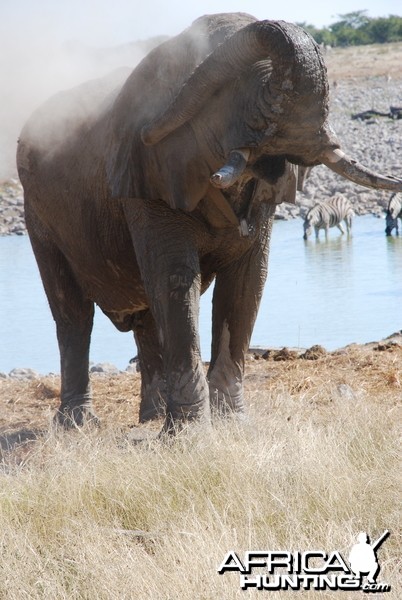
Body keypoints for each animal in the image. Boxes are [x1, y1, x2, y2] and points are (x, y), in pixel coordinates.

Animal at [17, 12, 402, 432]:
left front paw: (230, 422)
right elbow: (174, 279)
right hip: (38, 215)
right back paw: (77, 424)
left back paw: (152, 417)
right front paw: (188, 434)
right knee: (73, 315)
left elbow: (247, 282)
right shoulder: (147, 178)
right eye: (233, 91)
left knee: (144, 316)